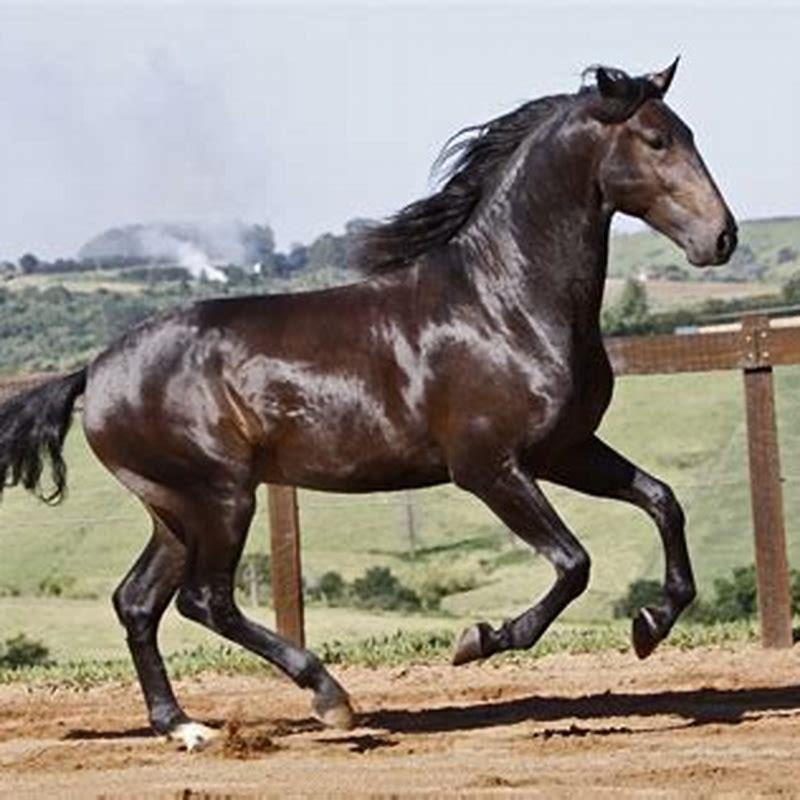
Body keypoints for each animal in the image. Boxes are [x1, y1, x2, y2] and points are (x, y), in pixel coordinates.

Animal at [0, 60, 736, 750]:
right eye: (656, 139)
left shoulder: (567, 450)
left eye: (690, 134)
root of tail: (94, 372)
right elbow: (573, 564)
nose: (722, 237)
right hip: (219, 498)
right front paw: (478, 639)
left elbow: (663, 501)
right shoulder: (489, 468)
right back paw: (328, 696)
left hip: (175, 511)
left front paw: (650, 625)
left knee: (138, 602)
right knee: (204, 601)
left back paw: (184, 727)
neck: (505, 303)